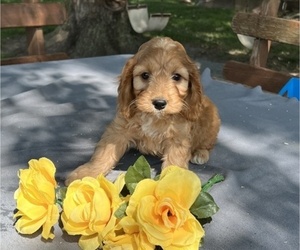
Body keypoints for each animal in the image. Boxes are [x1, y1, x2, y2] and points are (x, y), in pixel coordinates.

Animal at [65, 37, 220, 186]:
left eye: (176, 77)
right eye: (145, 75)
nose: (159, 103)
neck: (155, 118)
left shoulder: (178, 139)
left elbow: (174, 162)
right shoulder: (118, 130)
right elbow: (104, 153)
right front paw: (86, 172)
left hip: (211, 124)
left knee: (208, 143)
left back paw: (201, 154)